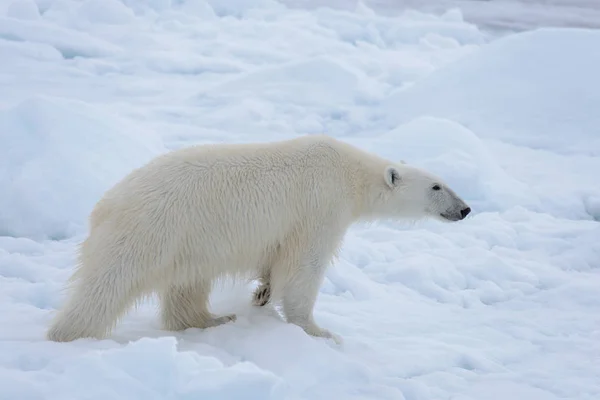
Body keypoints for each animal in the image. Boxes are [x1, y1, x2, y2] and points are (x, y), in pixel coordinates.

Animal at [45, 134, 468, 344]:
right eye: (436, 187)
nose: (465, 209)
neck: (348, 171)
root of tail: (105, 206)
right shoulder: (320, 205)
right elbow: (304, 267)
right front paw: (318, 331)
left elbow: (276, 262)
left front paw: (262, 292)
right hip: (152, 231)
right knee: (107, 286)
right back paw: (69, 335)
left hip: (189, 241)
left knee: (186, 285)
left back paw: (213, 318)